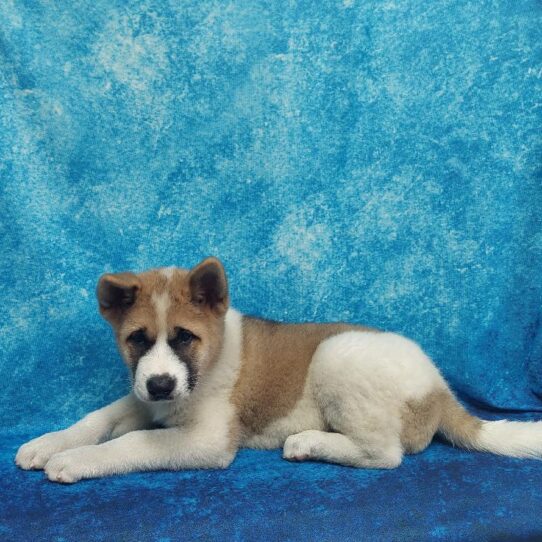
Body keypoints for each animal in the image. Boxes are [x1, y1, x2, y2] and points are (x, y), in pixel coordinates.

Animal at [14, 260, 542, 484]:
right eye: (137, 339)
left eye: (184, 337)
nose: (161, 385)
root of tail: (441, 387)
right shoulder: (146, 398)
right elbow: (99, 418)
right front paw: (49, 444)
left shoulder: (206, 439)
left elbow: (134, 443)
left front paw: (76, 460)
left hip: (337, 355)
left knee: (385, 454)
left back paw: (307, 442)